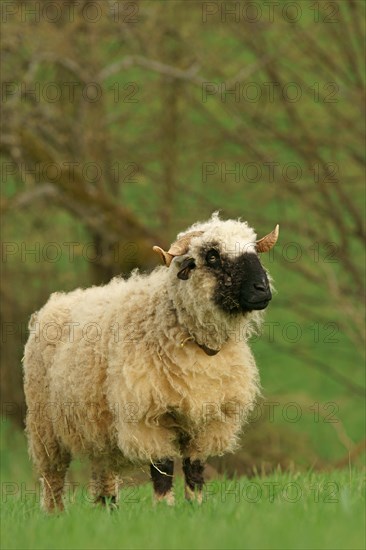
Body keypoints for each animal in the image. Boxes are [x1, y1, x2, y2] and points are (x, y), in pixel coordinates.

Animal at [22, 215, 278, 512]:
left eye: (253, 250)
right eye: (212, 255)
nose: (262, 289)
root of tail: (55, 302)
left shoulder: (210, 419)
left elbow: (194, 468)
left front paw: (195, 507)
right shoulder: (147, 415)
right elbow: (163, 468)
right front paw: (165, 510)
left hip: (98, 425)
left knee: (103, 470)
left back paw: (108, 511)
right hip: (44, 425)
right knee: (52, 475)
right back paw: (56, 514)